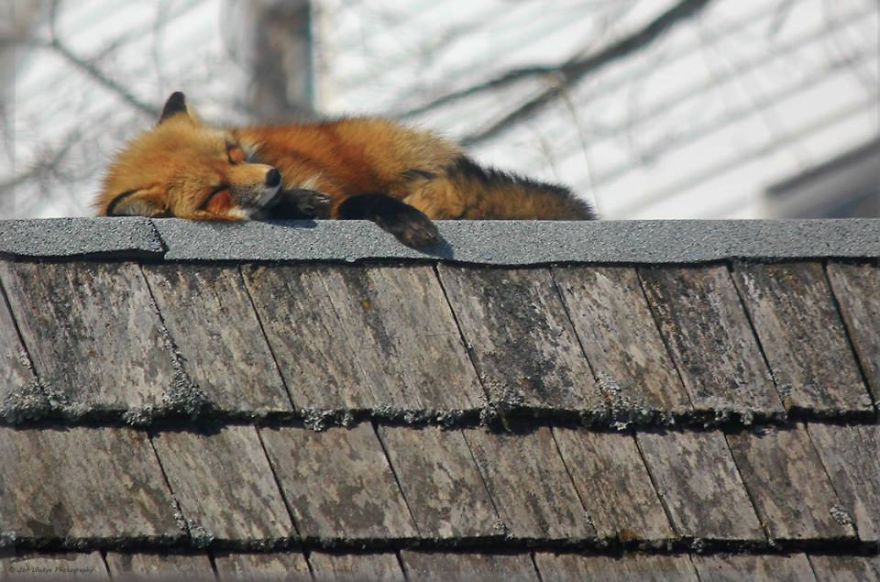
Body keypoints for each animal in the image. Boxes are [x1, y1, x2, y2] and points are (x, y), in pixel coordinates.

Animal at [97, 92, 595, 247]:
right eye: (215, 193)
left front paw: (409, 221)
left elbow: (360, 199)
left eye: (234, 153)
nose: (273, 177)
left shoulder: (335, 189)